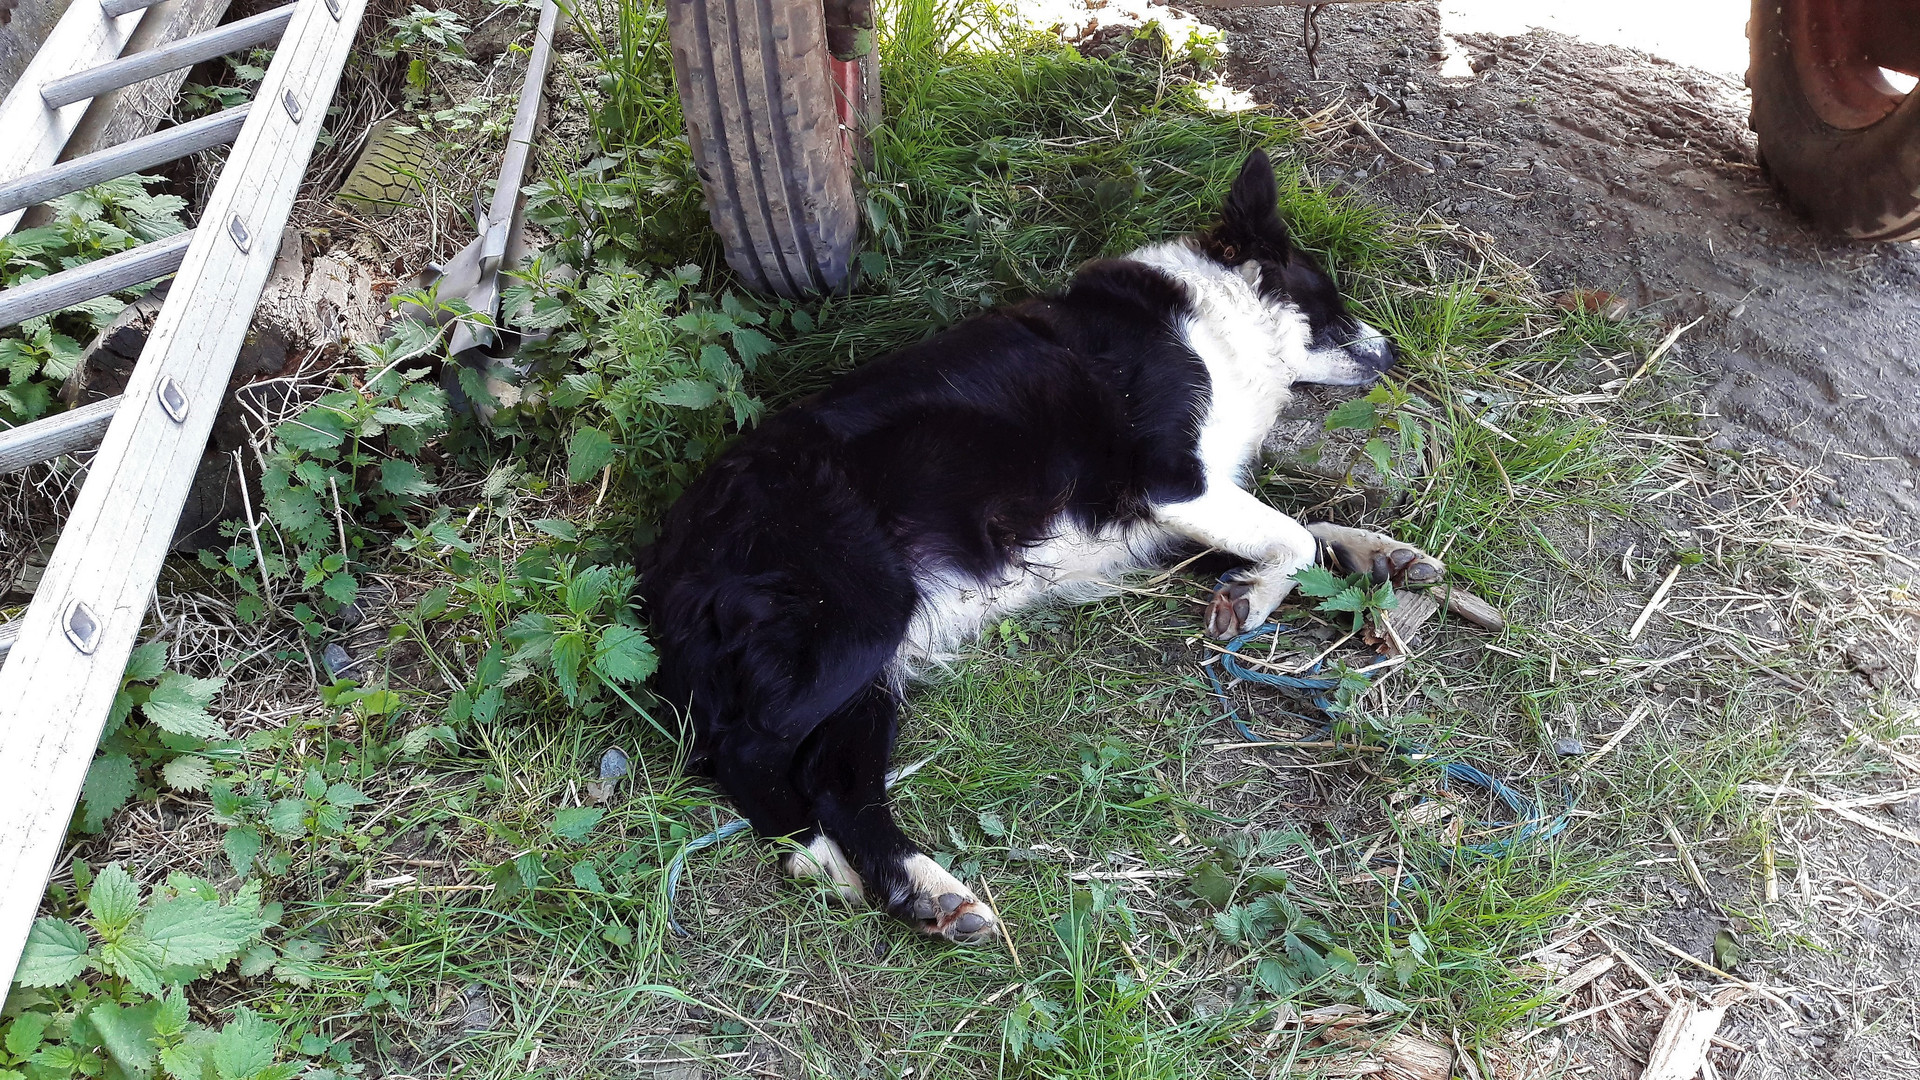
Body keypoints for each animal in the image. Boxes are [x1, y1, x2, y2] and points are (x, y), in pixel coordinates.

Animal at [641, 147, 1428, 937]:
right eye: (1332, 302)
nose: (1394, 350)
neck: (1212, 316)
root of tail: (672, 553)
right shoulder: (1172, 484)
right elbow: (1291, 535)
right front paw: (1255, 597)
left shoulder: (1164, 520)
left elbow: (1303, 531)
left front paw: (1376, 553)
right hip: (857, 618)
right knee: (747, 750)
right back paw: (818, 858)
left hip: (867, 678)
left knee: (836, 788)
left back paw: (924, 890)